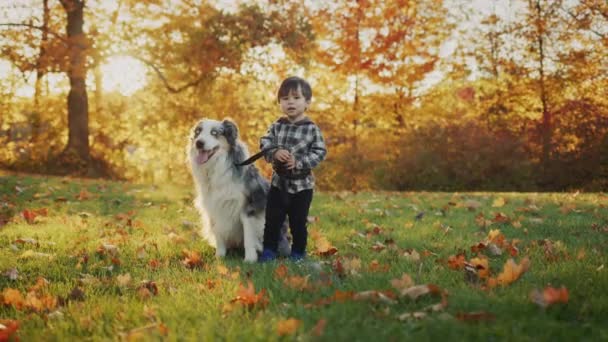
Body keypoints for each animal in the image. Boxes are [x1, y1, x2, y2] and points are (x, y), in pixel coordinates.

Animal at [185, 117, 290, 262]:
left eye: (214, 133)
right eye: (198, 132)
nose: (199, 143)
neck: (217, 167)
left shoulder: (248, 207)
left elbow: (248, 237)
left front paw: (250, 259)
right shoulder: (214, 207)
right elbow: (219, 233)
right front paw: (220, 257)